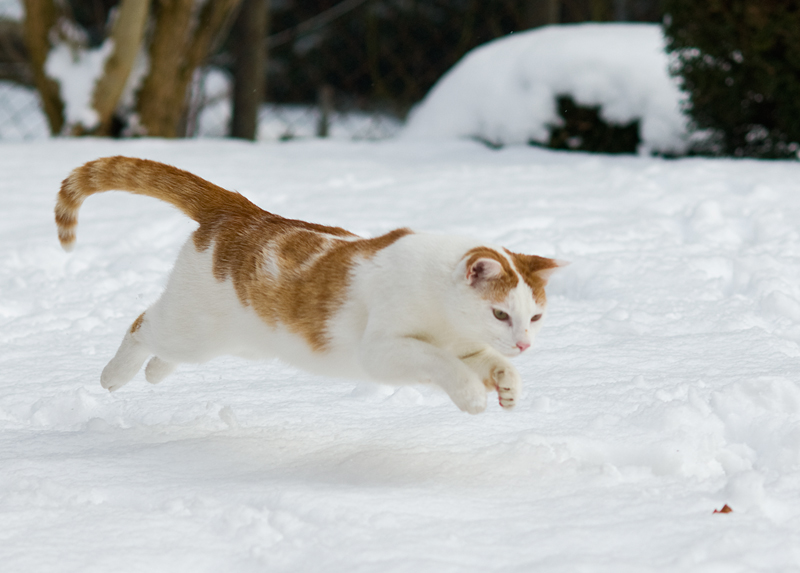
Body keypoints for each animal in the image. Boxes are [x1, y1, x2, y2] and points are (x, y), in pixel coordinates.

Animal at [56, 158, 564, 412]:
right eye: (500, 313)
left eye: (536, 317)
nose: (525, 343)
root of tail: (243, 209)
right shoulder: (381, 351)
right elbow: (438, 362)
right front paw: (471, 395)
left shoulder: (467, 346)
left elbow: (491, 361)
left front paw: (508, 384)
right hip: (192, 327)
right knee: (141, 324)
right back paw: (115, 375)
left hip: (238, 340)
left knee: (167, 348)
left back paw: (155, 374)